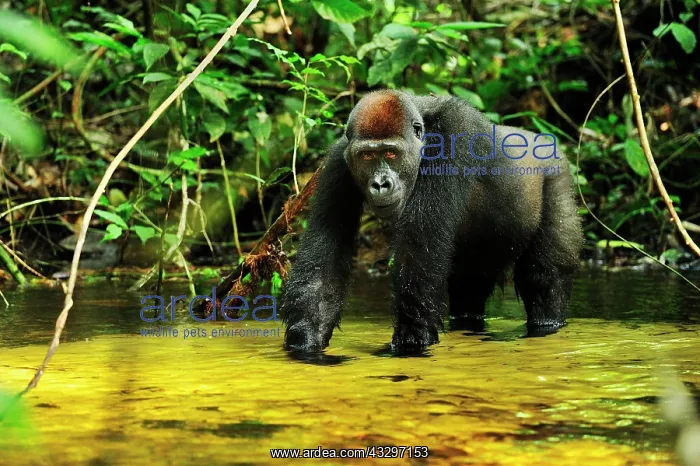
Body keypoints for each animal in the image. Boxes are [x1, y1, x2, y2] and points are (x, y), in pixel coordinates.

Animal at [281, 89, 583, 353]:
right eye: (366, 156)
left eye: (391, 153)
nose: (380, 184)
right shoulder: (337, 162)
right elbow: (325, 263)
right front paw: (305, 340)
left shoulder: (453, 137)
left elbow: (418, 253)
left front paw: (411, 338)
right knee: (469, 290)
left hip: (557, 173)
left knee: (544, 277)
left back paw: (546, 322)